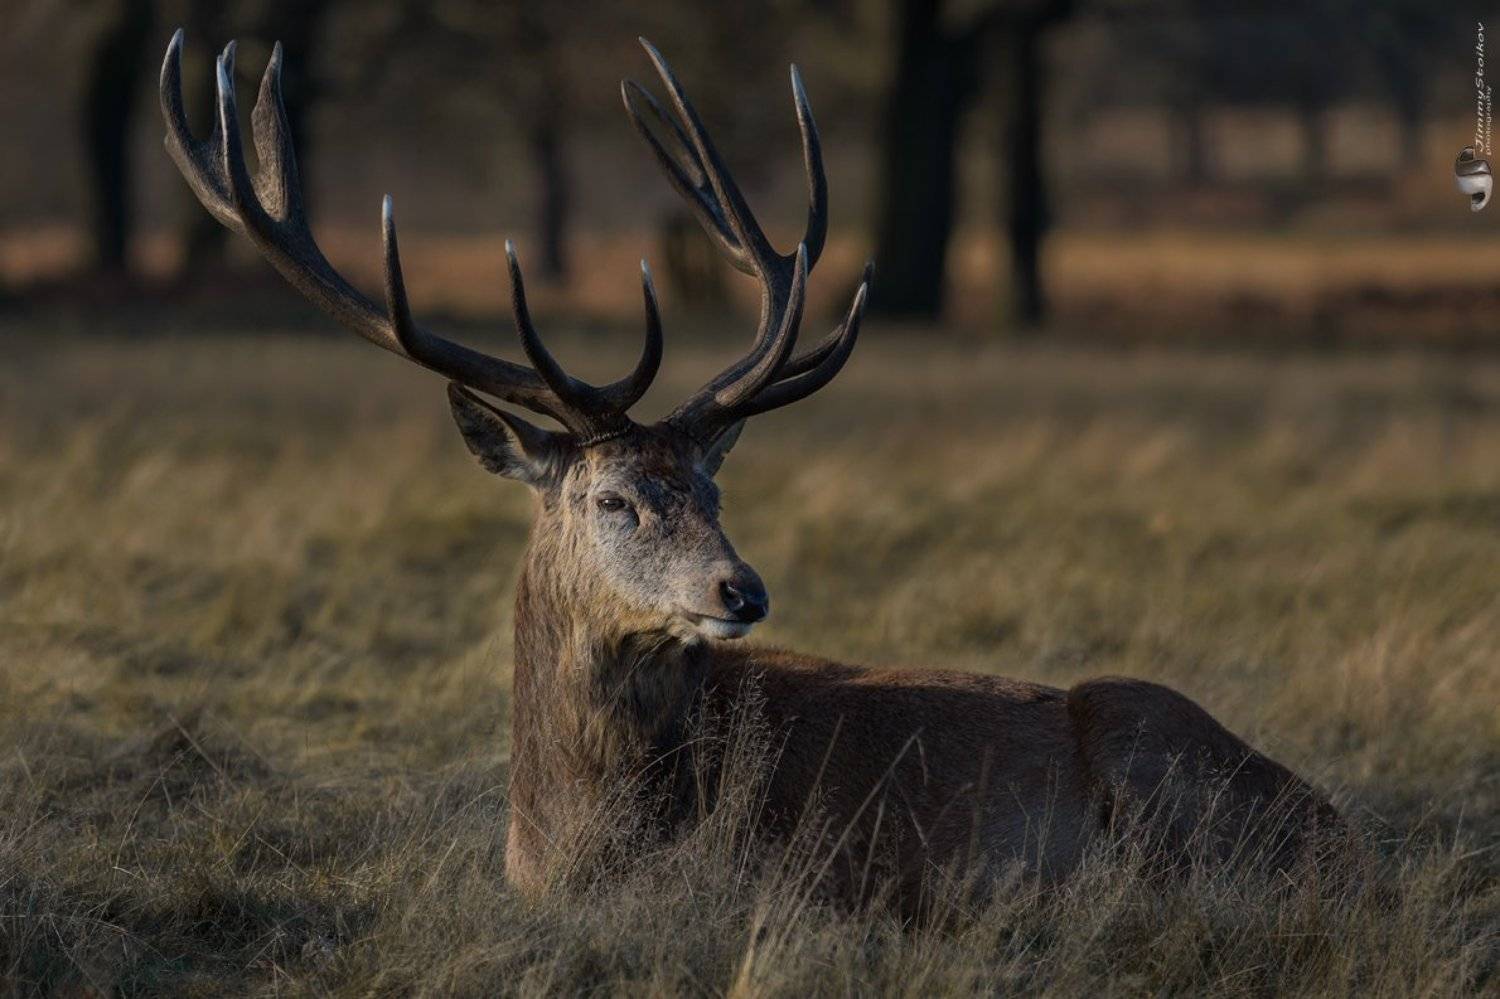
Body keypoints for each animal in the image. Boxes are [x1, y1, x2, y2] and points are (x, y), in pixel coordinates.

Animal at [160, 32, 1341, 912]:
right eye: (614, 498)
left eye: (715, 489)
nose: (743, 589)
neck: (568, 838)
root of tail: (1346, 835)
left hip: (1152, 749)